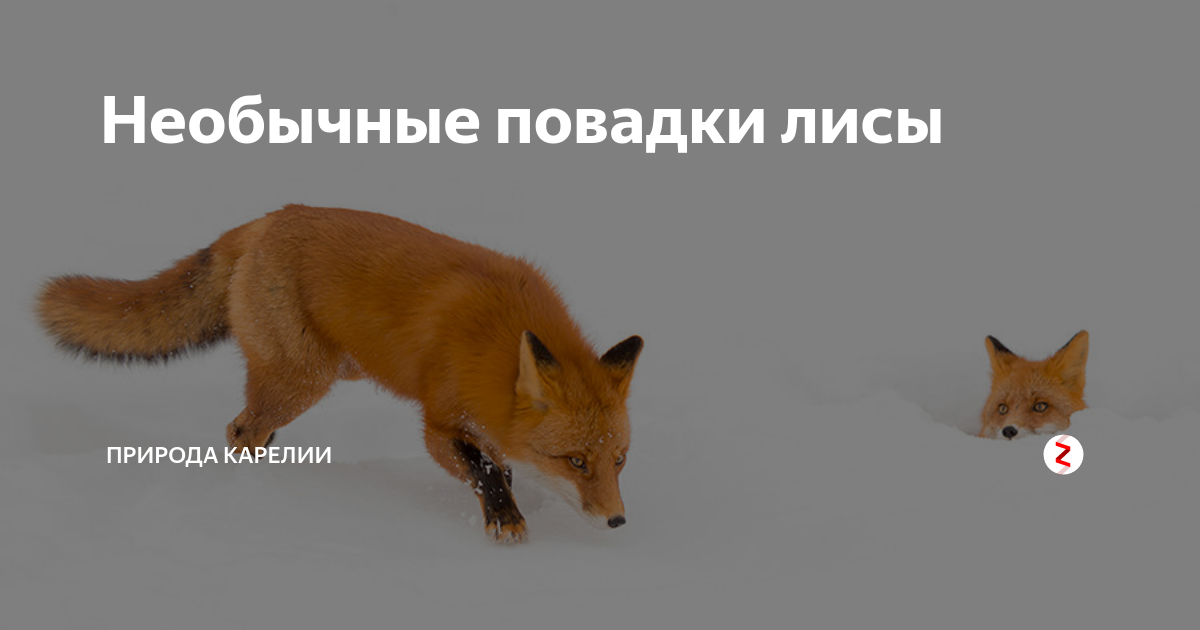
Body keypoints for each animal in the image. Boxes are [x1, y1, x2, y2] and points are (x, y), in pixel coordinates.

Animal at [36, 205, 643, 544]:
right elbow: (485, 468)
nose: (618, 522)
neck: (496, 340)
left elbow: (501, 464)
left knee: (251, 428)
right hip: (303, 379)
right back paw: (252, 493)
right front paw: (505, 517)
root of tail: (269, 218)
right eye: (575, 461)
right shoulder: (439, 424)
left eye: (619, 461)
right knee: (240, 430)